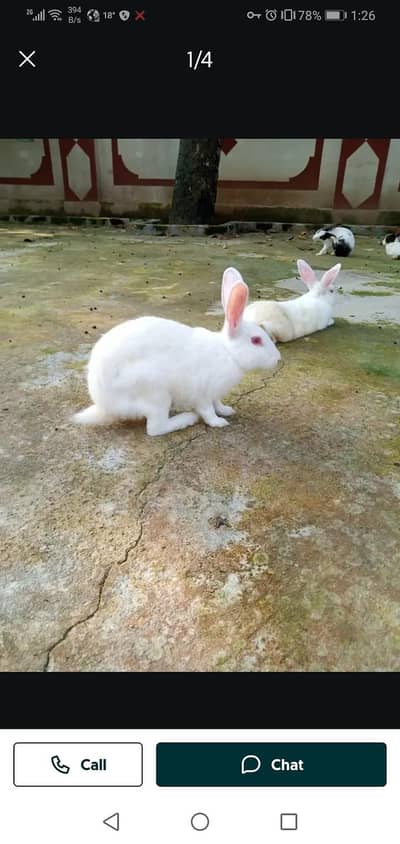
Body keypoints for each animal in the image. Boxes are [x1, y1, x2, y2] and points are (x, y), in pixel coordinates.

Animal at [72, 267, 281, 436]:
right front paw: (219, 422)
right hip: (155, 393)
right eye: (256, 340)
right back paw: (187, 418)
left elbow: (218, 404)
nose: (278, 359)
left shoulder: (215, 393)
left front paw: (226, 410)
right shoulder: (202, 394)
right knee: (155, 428)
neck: (228, 352)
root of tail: (103, 404)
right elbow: (207, 410)